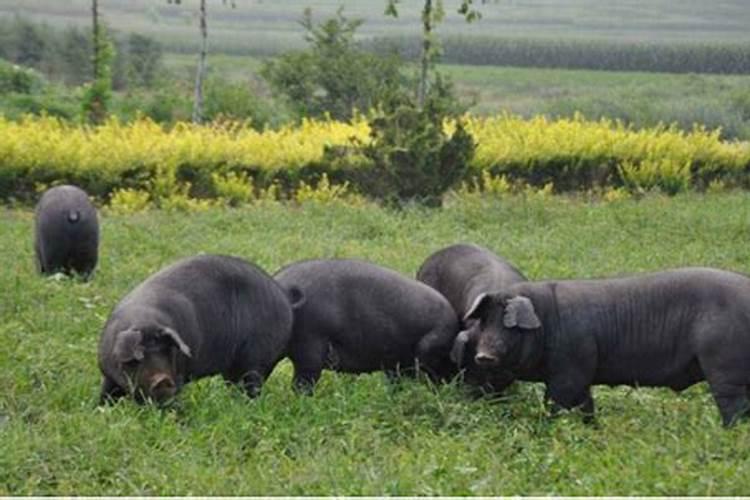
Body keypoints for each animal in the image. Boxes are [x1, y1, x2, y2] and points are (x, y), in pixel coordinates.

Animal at [94, 256, 294, 404]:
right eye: (138, 358)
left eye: (166, 351)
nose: (163, 380)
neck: (144, 319)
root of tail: (285, 299)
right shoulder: (109, 373)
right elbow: (107, 391)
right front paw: (101, 409)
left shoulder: (179, 373)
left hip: (256, 358)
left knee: (252, 384)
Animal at [468, 268, 750, 428]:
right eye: (484, 322)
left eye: (509, 326)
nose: (483, 356)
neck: (548, 321)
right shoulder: (582, 373)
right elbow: (586, 404)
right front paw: (592, 430)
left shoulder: (570, 370)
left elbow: (555, 404)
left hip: (723, 363)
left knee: (732, 403)